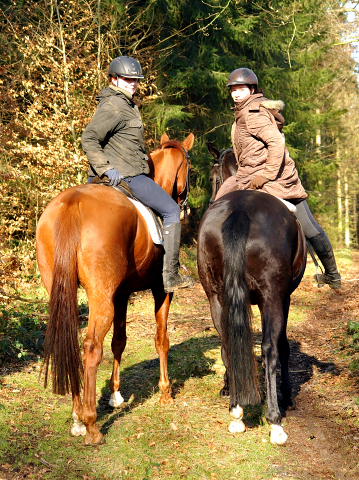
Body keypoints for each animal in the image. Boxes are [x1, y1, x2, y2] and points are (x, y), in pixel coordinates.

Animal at [36, 132, 194, 446]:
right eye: (189, 169)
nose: (185, 206)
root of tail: (72, 203)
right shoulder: (161, 291)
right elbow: (162, 339)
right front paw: (165, 393)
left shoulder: (121, 293)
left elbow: (119, 341)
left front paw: (116, 395)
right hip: (101, 298)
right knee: (91, 348)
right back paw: (91, 425)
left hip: (68, 294)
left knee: (72, 345)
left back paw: (77, 418)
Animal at [198, 141, 308, 444]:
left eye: (212, 178)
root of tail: (240, 210)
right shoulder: (283, 297)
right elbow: (281, 345)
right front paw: (287, 396)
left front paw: (227, 388)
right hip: (272, 297)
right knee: (269, 347)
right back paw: (275, 422)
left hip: (216, 296)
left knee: (227, 342)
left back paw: (236, 411)